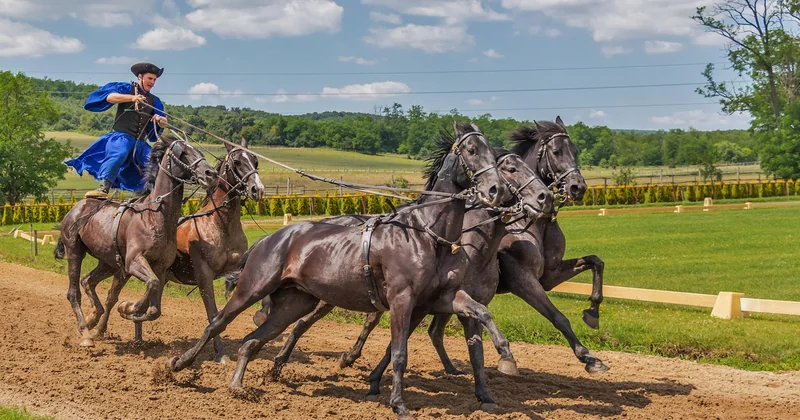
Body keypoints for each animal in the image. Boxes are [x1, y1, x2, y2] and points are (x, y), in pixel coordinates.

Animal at [54, 132, 218, 348]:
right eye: (182, 153)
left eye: (198, 151)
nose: (210, 173)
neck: (154, 215)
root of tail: (76, 208)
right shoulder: (134, 262)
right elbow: (152, 285)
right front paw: (129, 307)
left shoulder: (160, 268)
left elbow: (155, 308)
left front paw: (130, 310)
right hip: (75, 251)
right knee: (74, 292)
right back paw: (86, 333)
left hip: (109, 263)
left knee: (88, 281)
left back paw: (93, 318)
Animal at [167, 121, 518, 419]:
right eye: (471, 150)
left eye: (493, 152)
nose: (495, 191)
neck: (426, 234)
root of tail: (269, 238)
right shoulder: (403, 300)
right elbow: (399, 353)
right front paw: (398, 403)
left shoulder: (441, 297)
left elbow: (481, 312)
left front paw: (506, 357)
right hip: (252, 288)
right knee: (217, 324)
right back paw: (180, 364)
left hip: (295, 303)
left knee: (253, 341)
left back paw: (237, 385)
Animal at [256, 147, 555, 407]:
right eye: (512, 169)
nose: (545, 198)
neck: (470, 247)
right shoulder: (417, 302)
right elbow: (398, 344)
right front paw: (376, 383)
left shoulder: (448, 302)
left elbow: (475, 348)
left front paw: (486, 392)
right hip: (326, 296)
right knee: (299, 324)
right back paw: (282, 362)